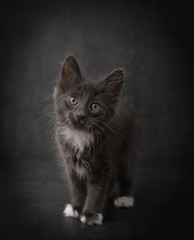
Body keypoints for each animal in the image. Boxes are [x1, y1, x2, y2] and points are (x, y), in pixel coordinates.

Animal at [53, 55, 136, 225]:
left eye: (95, 106)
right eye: (73, 100)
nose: (80, 115)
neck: (80, 135)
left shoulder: (103, 163)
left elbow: (96, 191)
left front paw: (91, 214)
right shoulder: (71, 165)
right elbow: (77, 188)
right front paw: (76, 208)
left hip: (126, 149)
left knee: (125, 172)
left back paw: (124, 198)